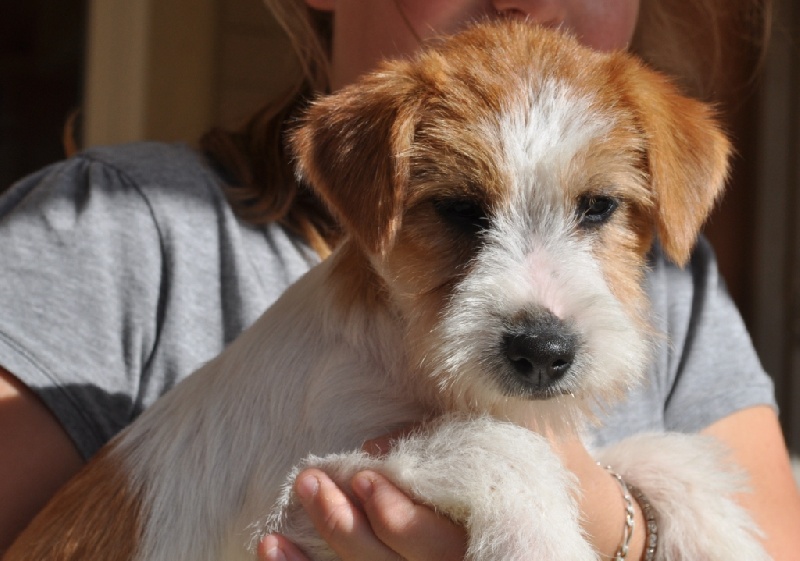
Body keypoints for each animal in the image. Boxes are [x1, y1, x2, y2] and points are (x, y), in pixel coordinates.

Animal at [3, 18, 772, 560]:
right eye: (459, 208)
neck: (413, 357)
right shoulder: (298, 493)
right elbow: (495, 445)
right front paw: (542, 544)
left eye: (598, 207)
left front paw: (721, 536)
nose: (543, 350)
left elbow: (662, 453)